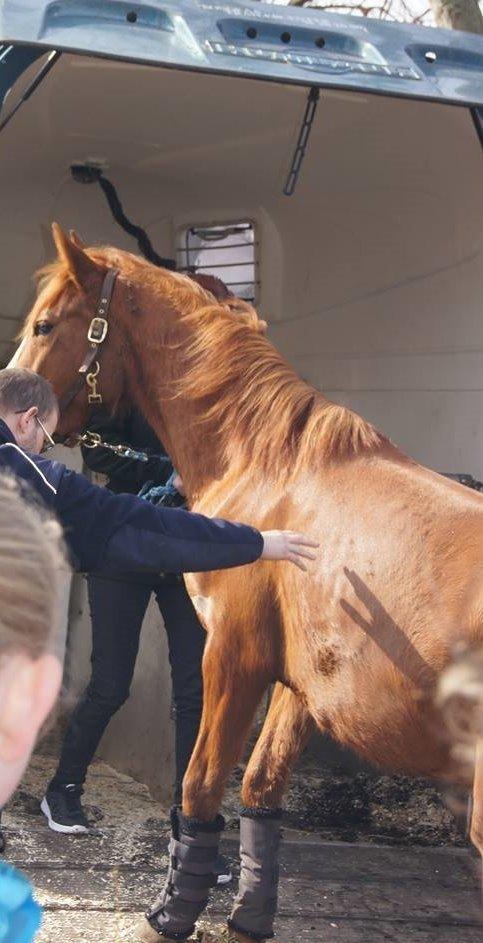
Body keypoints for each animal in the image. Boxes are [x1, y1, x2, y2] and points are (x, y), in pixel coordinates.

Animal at [13, 225, 483, 940]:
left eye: (44, 325)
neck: (271, 467)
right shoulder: (297, 681)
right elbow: (261, 789)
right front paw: (248, 917)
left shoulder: (232, 657)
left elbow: (202, 783)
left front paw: (172, 914)